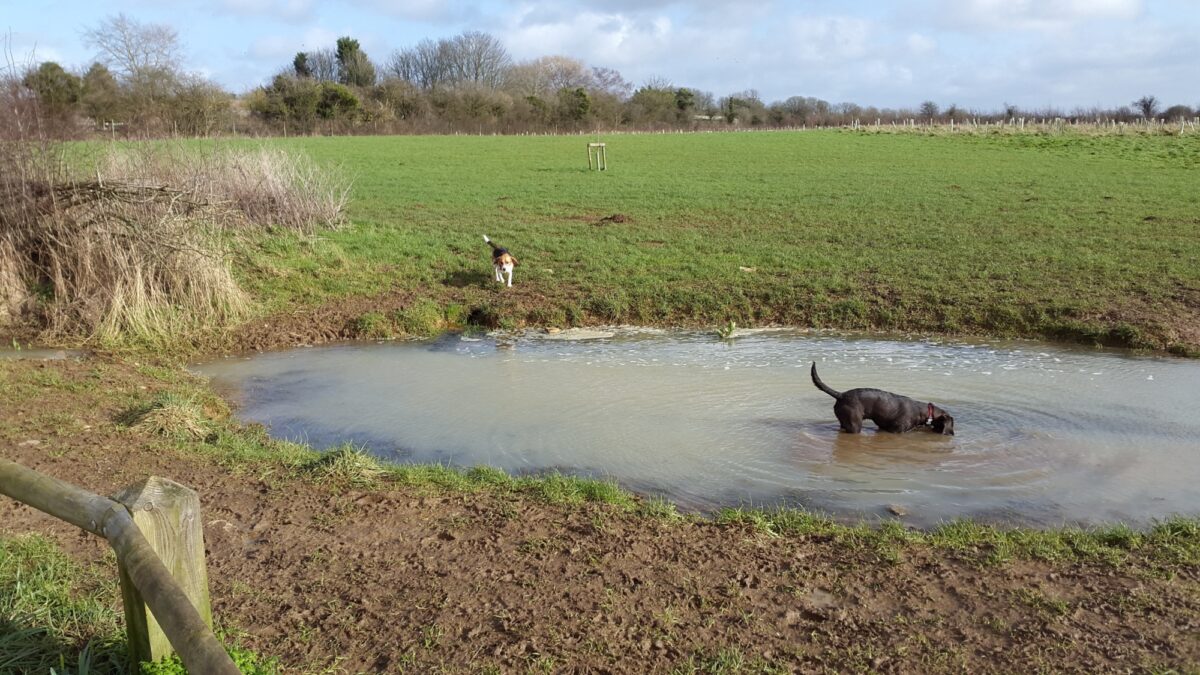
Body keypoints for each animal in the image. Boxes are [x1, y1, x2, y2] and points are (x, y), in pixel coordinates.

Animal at [811, 360, 950, 432]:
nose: (952, 434)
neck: (924, 411)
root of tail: (841, 395)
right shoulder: (897, 431)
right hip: (855, 425)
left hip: (844, 422)